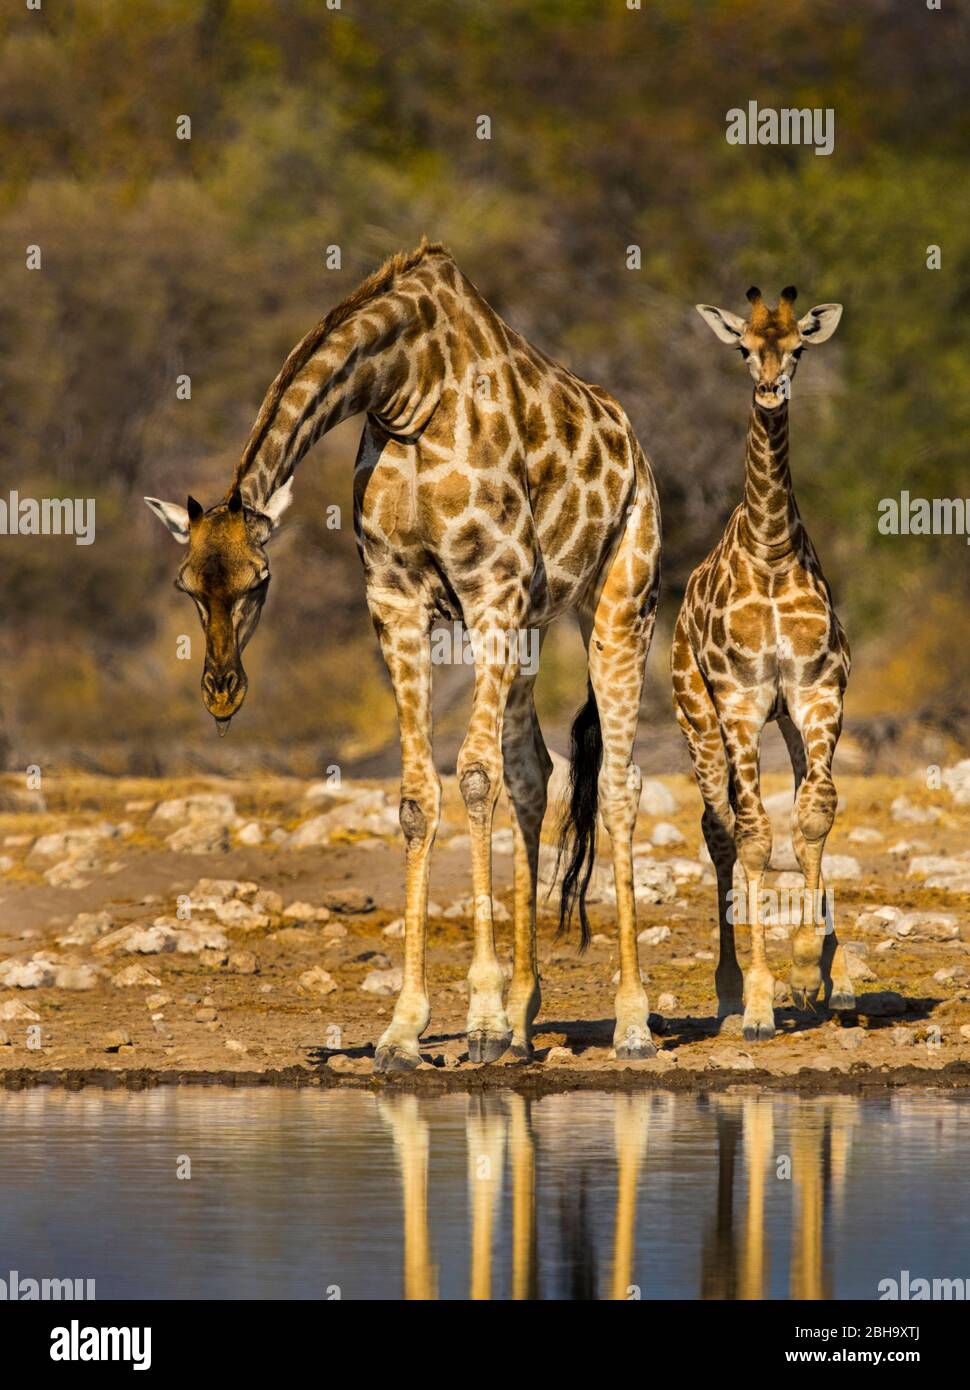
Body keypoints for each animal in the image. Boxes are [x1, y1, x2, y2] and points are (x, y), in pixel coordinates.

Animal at [145, 239, 662, 1072]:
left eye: (259, 580)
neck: (406, 390)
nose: (221, 692)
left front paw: (478, 1022)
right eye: (187, 585)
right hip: (533, 622)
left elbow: (474, 775)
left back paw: (631, 1023)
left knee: (618, 781)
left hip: (622, 597)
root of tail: (636, 449)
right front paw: (404, 1030)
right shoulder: (393, 595)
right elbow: (420, 794)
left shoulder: (490, 583)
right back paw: (526, 1022)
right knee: (535, 772)